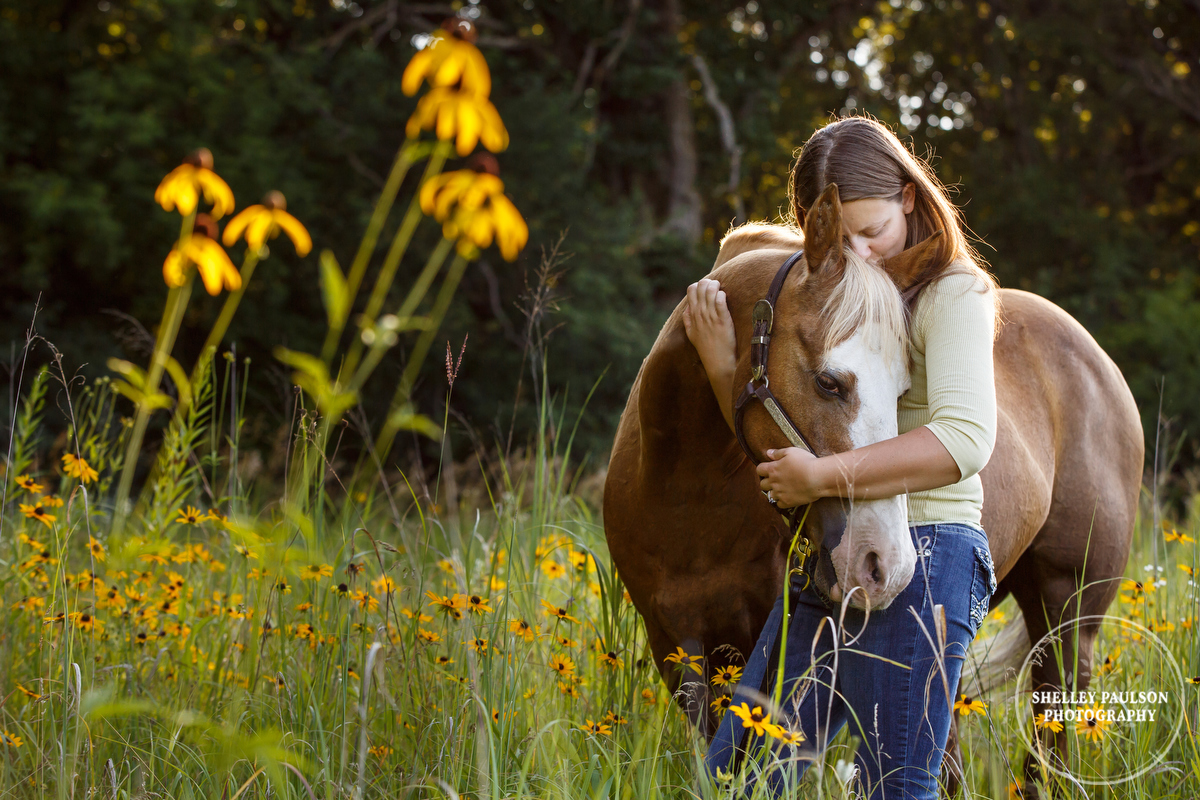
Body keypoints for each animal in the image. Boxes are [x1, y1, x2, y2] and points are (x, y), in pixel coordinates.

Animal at [609, 184, 1142, 791]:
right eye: (828, 382)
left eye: (905, 391)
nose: (884, 565)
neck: (691, 499)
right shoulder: (679, 650)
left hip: (1069, 615)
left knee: (1047, 749)